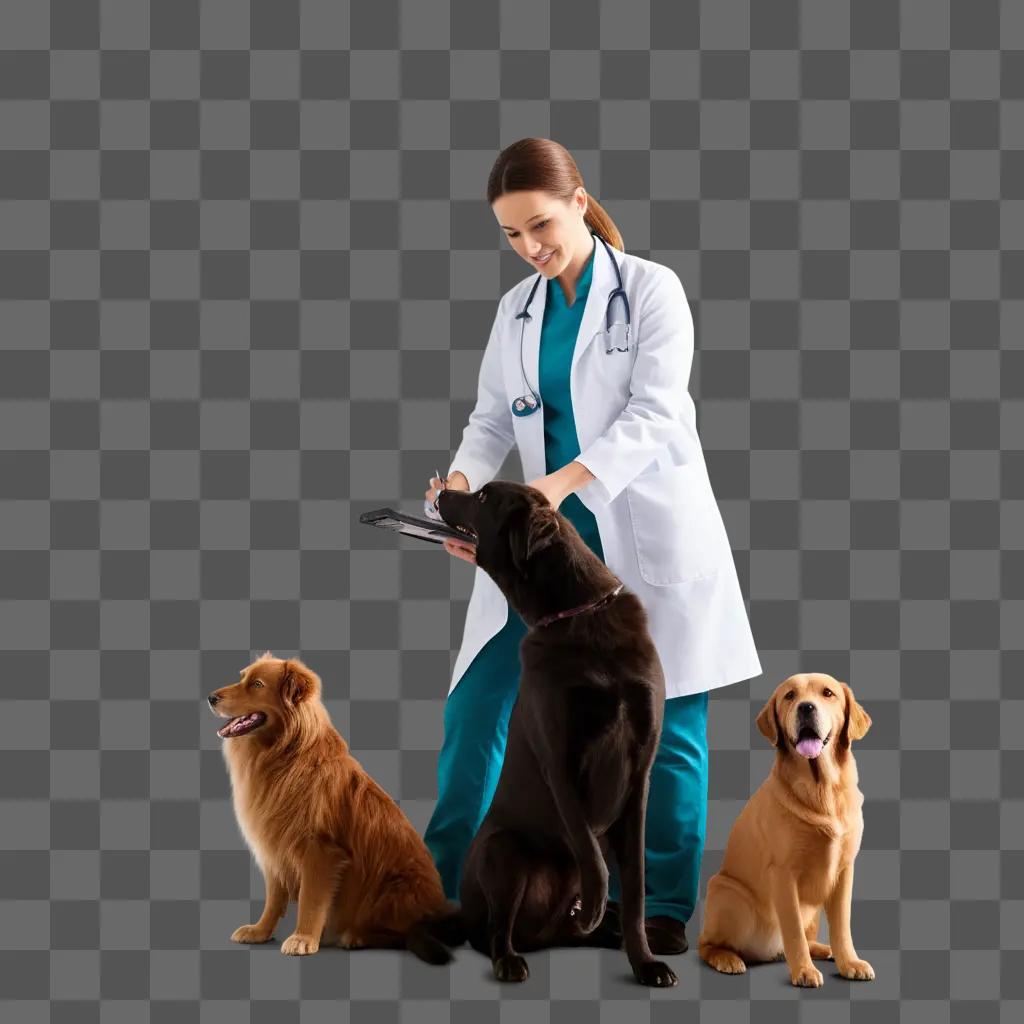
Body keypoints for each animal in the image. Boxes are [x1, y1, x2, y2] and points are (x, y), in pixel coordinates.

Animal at [205, 655, 462, 958]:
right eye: (242, 677)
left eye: (257, 684)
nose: (211, 697)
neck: (283, 756)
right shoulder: (275, 846)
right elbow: (274, 897)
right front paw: (260, 931)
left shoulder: (320, 850)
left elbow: (311, 899)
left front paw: (303, 938)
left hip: (393, 889)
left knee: (404, 931)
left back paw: (357, 936)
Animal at [700, 671, 876, 983]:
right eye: (790, 696)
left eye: (828, 693)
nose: (806, 707)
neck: (822, 789)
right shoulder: (783, 874)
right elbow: (792, 930)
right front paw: (804, 971)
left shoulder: (845, 870)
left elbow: (842, 926)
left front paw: (850, 962)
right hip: (727, 892)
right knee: (706, 944)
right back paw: (727, 958)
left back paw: (822, 948)